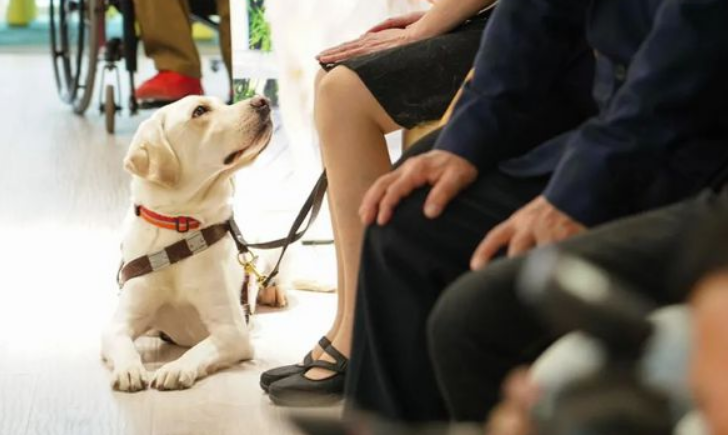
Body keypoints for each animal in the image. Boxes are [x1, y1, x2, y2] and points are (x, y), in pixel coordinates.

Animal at [101, 97, 272, 394]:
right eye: (200, 111)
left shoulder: (233, 331)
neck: (180, 232)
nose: (263, 100)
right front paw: (129, 369)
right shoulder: (117, 324)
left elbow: (201, 349)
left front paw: (177, 368)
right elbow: (123, 344)